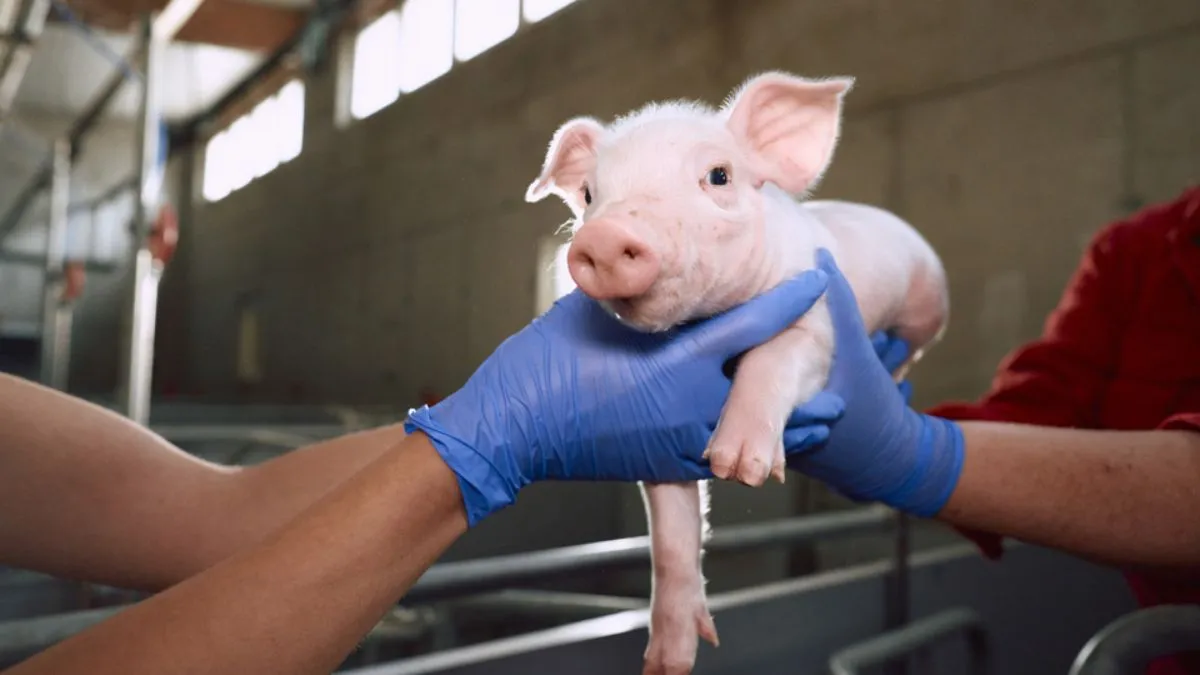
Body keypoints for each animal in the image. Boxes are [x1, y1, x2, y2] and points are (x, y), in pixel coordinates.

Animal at [524, 71, 949, 675]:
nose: (603, 238)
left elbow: (775, 355)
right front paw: (668, 662)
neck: (714, 321)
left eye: (719, 175)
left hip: (926, 311)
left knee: (908, 352)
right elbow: (672, 535)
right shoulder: (662, 434)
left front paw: (742, 468)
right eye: (588, 194)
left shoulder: (819, 322)